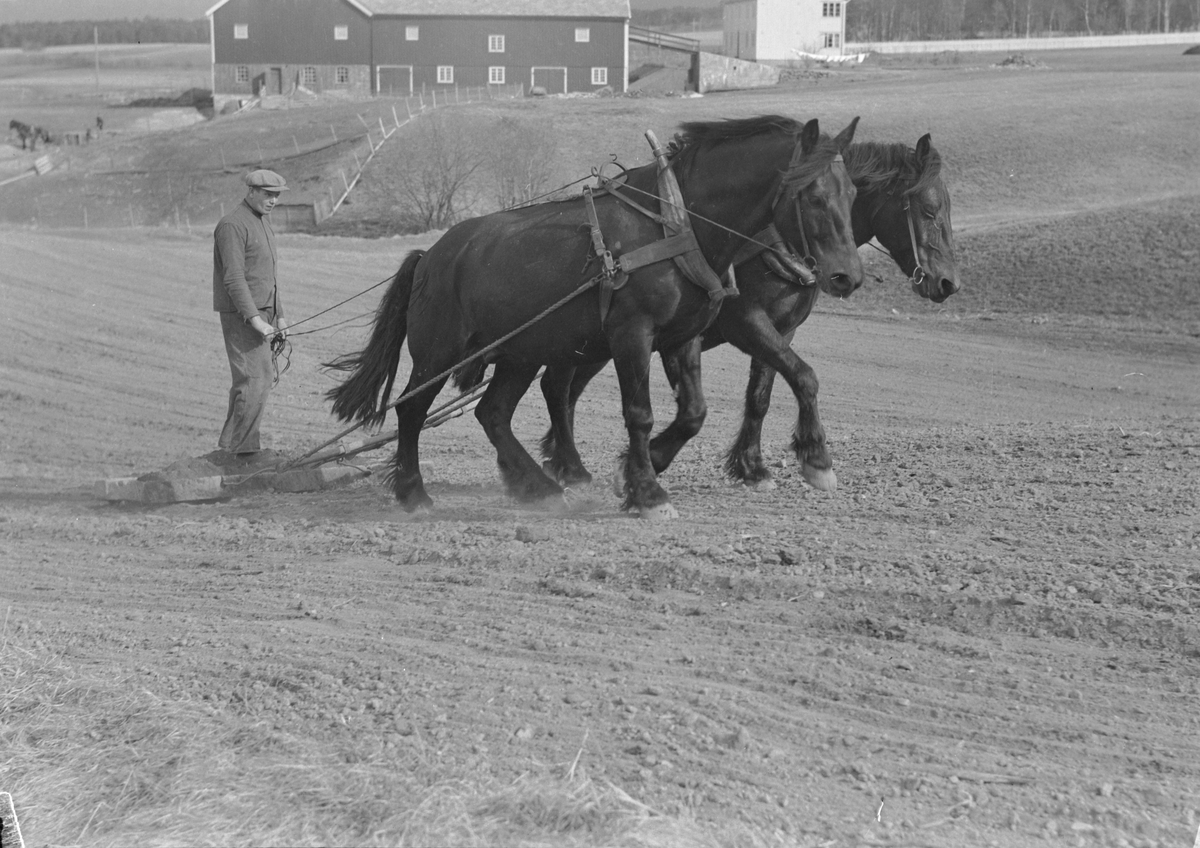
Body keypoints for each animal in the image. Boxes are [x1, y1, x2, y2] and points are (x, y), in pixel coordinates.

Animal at [328, 116, 864, 520]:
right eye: (814, 196)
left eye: (853, 193)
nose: (848, 276)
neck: (677, 223)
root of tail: (433, 255)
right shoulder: (637, 334)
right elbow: (640, 413)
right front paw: (648, 491)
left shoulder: (683, 337)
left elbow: (699, 410)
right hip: (440, 352)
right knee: (412, 411)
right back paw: (414, 492)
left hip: (522, 352)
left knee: (494, 412)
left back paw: (539, 485)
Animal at [540, 131, 960, 491]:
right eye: (929, 209)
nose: (948, 283)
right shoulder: (746, 323)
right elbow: (804, 377)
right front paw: (815, 457)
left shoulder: (781, 329)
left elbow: (761, 397)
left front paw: (752, 466)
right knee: (557, 387)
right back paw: (570, 466)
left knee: (565, 389)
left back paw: (561, 460)